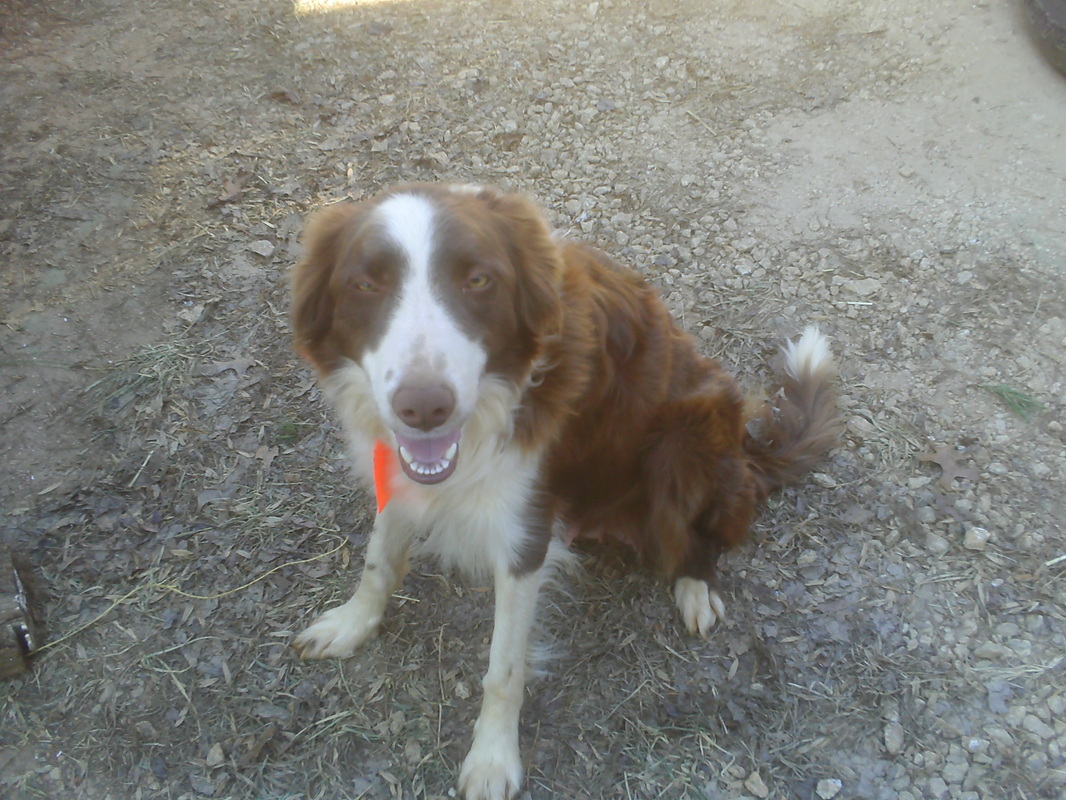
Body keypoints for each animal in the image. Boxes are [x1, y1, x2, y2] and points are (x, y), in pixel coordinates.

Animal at [292, 184, 840, 797]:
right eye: (365, 285)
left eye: (477, 280)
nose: (424, 408)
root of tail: (747, 451)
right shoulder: (399, 472)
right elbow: (379, 559)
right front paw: (351, 624)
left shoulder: (525, 534)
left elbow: (503, 668)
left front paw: (492, 759)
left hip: (680, 447)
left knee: (703, 536)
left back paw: (695, 586)